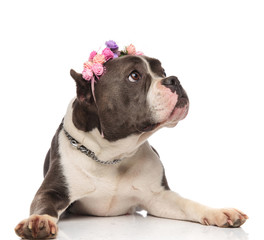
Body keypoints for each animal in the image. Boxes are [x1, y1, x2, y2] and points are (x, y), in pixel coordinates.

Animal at [16, 42, 248, 238]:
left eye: (163, 72)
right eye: (134, 76)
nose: (174, 79)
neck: (111, 155)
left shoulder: (158, 197)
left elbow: (188, 203)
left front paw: (218, 212)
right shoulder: (53, 191)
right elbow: (43, 205)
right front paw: (38, 220)